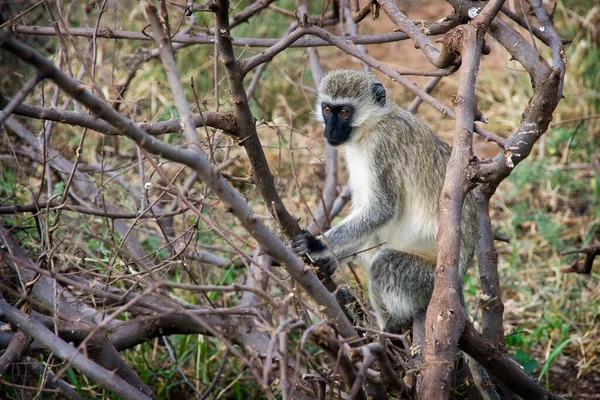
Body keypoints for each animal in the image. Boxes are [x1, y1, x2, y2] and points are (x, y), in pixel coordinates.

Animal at [290, 70, 478, 332]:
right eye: (327, 110)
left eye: (344, 112)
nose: (331, 130)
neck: (372, 125)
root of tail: (456, 282)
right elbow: (365, 211)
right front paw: (328, 258)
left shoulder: (381, 147)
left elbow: (381, 210)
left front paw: (315, 245)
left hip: (425, 281)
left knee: (384, 263)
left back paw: (384, 328)